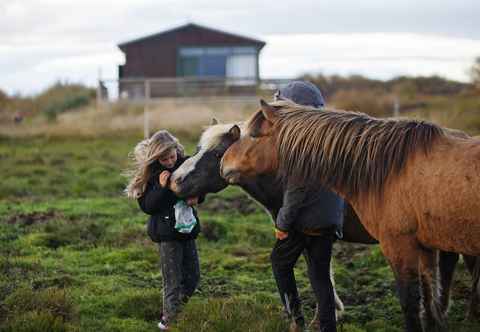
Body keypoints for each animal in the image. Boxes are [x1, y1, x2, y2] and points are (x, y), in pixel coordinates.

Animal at [220, 99, 480, 332]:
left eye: (254, 135)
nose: (223, 163)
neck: (388, 171)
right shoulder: (424, 245)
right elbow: (429, 291)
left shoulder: (399, 245)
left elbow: (410, 302)